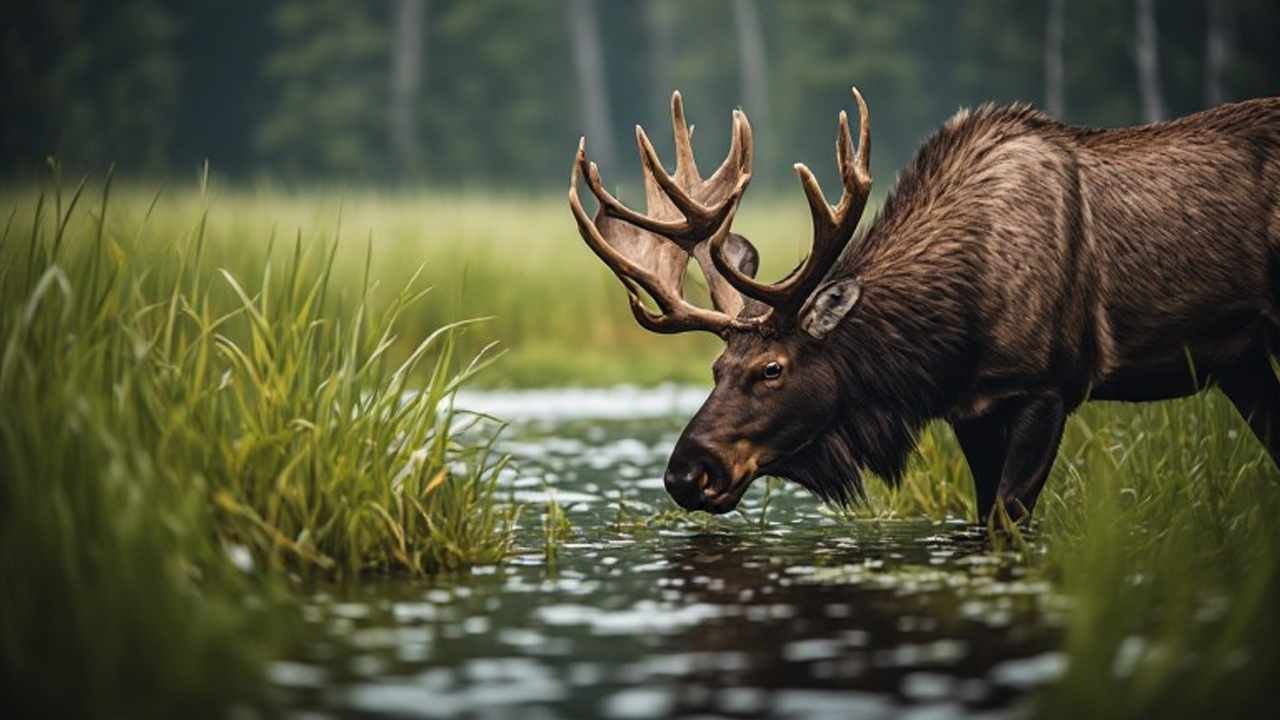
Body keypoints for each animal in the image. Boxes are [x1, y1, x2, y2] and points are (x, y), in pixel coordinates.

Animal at [568, 86, 1280, 522]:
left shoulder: (1047, 386)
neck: (945, 338)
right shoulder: (970, 409)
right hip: (1240, 359)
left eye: (771, 369)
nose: (686, 473)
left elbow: (1007, 523)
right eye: (715, 370)